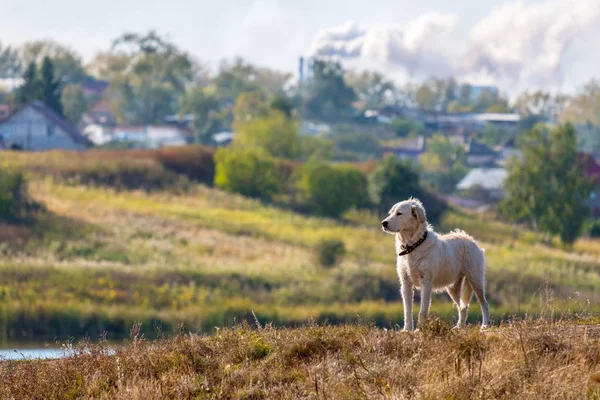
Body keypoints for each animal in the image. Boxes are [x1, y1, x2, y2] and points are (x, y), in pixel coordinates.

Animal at [382, 198, 490, 332]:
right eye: (390, 213)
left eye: (399, 213)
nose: (383, 223)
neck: (413, 246)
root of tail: (470, 240)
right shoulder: (405, 284)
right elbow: (407, 310)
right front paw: (407, 330)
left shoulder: (426, 282)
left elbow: (423, 310)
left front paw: (419, 330)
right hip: (452, 288)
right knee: (463, 307)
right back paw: (459, 327)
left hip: (475, 281)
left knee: (484, 303)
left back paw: (485, 325)